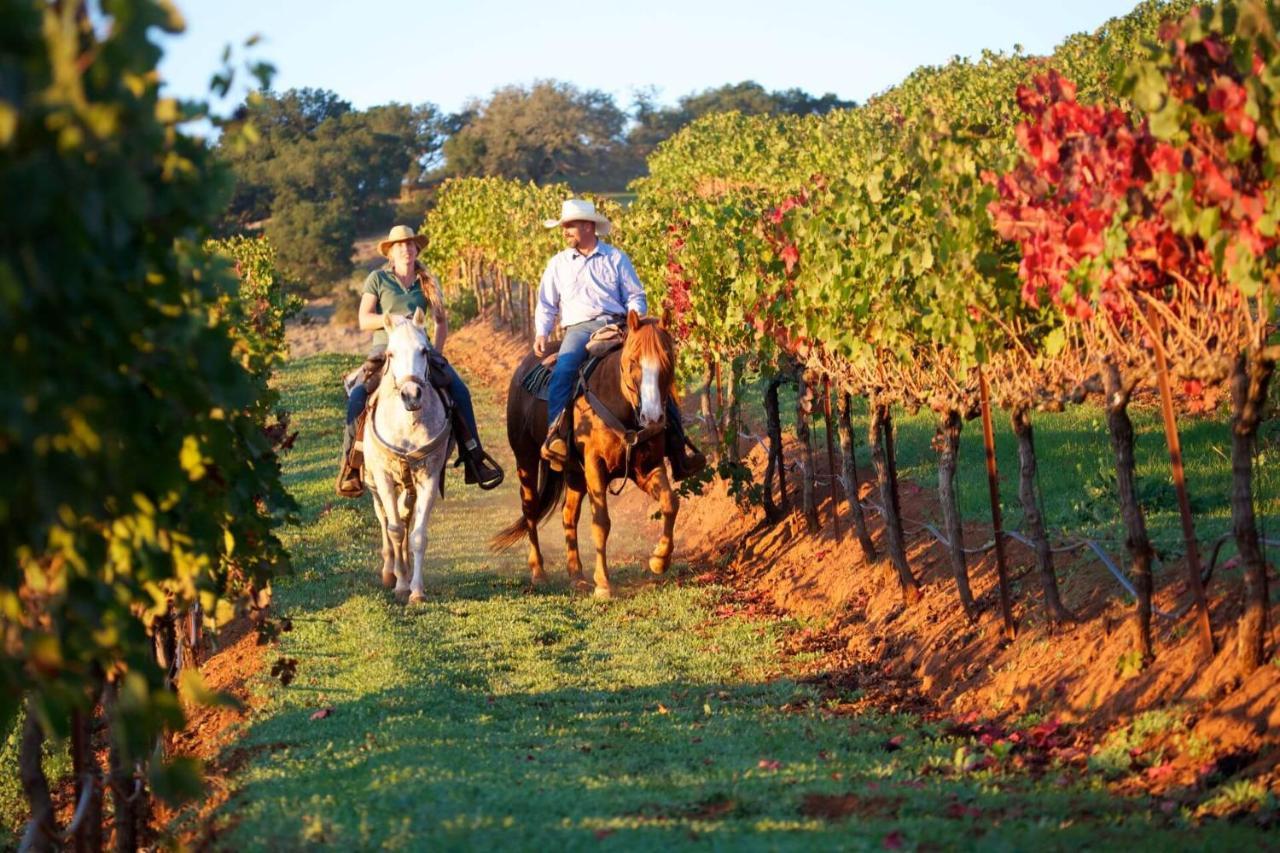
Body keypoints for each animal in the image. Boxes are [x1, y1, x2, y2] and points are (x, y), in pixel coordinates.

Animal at [363, 308, 453, 601]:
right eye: (390, 354)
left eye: (424, 350)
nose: (411, 395)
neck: (407, 423)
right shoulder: (383, 477)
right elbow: (394, 529)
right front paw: (400, 583)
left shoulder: (429, 477)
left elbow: (416, 534)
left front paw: (416, 590)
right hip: (374, 483)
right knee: (385, 518)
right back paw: (389, 571)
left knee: (404, 516)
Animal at [488, 308, 680, 594]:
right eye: (633, 361)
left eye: (668, 359)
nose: (653, 417)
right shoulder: (594, 465)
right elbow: (601, 522)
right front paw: (603, 584)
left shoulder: (647, 468)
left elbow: (670, 502)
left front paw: (659, 560)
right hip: (526, 458)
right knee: (530, 509)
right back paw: (538, 571)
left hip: (573, 473)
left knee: (568, 514)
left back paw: (576, 573)